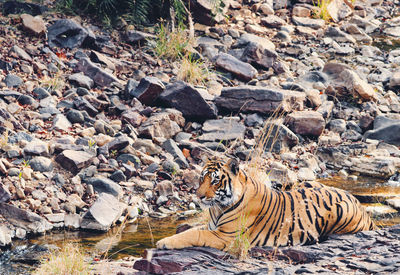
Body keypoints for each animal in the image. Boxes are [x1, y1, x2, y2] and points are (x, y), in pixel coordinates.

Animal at [156, 157, 376, 252]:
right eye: (202, 178)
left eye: (215, 181)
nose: (199, 196)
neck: (219, 207)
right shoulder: (213, 227)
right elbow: (192, 229)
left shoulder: (225, 237)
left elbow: (194, 235)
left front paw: (163, 242)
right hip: (311, 183)